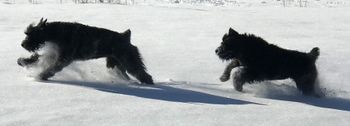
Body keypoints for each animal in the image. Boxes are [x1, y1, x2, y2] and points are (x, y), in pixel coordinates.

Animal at [18, 17, 153, 84]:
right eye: (26, 33)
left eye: (31, 34)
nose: (23, 44)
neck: (56, 32)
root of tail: (125, 36)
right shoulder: (53, 54)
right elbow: (36, 58)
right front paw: (22, 61)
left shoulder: (63, 59)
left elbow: (51, 68)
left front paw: (40, 76)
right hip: (115, 63)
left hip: (129, 61)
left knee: (142, 73)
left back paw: (148, 83)